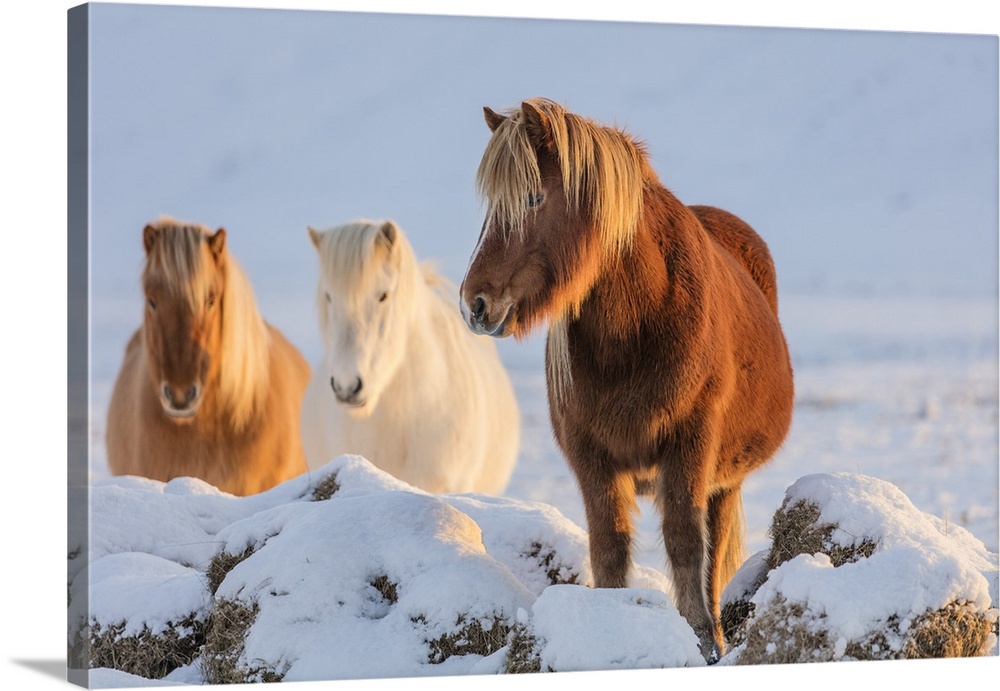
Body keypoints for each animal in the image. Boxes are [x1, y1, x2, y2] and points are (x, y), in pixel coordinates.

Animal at [460, 98, 796, 664]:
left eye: (533, 197)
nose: (474, 305)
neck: (635, 326)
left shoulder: (690, 443)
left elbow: (685, 542)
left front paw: (701, 640)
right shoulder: (590, 454)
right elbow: (609, 546)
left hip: (725, 480)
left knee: (714, 548)